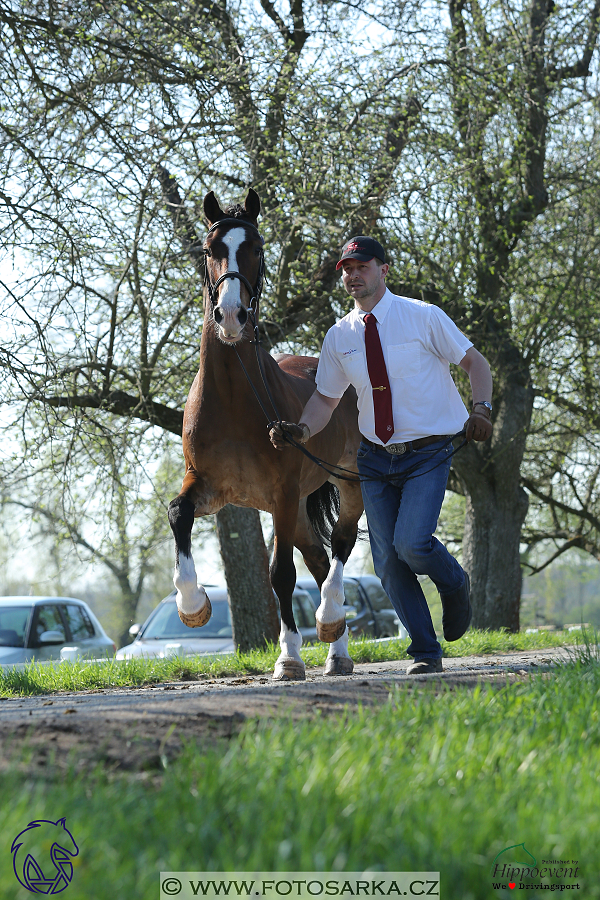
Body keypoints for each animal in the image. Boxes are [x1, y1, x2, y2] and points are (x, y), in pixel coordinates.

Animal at [169, 192, 366, 684]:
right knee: (319, 560)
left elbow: (281, 575)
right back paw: (336, 649)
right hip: (298, 506)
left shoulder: (281, 492)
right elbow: (178, 512)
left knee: (340, 546)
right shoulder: (211, 487)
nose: (231, 315)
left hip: (345, 482)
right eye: (209, 249)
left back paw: (331, 622)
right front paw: (192, 604)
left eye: (256, 248)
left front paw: (289, 658)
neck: (234, 398)